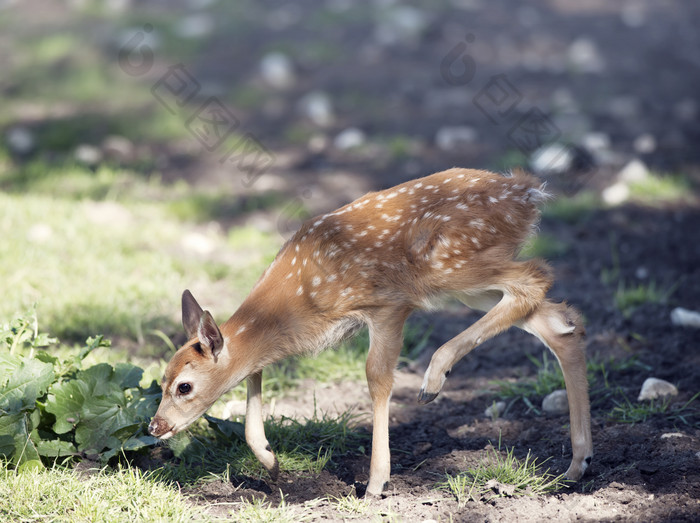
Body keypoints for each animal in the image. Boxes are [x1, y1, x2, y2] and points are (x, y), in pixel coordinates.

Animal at [148, 169, 592, 500]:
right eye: (161, 381)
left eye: (185, 386)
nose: (155, 426)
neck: (295, 305)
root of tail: (528, 191)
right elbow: (253, 373)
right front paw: (270, 461)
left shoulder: (388, 305)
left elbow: (377, 377)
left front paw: (377, 483)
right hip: (466, 284)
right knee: (559, 322)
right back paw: (577, 464)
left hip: (448, 264)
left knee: (535, 279)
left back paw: (434, 380)